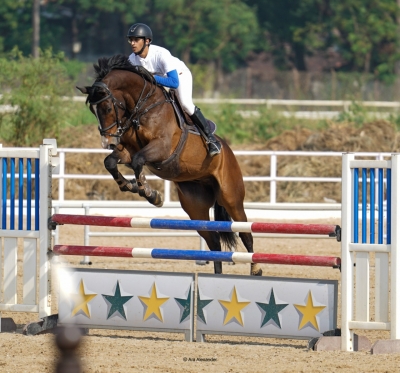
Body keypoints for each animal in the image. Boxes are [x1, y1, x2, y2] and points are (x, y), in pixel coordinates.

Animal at [76, 55, 262, 276]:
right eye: (92, 111)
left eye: (106, 108)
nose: (108, 143)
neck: (143, 107)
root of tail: (228, 150)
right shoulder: (127, 151)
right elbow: (111, 162)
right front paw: (130, 186)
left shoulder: (161, 148)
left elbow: (138, 161)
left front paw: (150, 193)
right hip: (195, 206)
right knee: (214, 241)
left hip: (231, 197)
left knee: (245, 232)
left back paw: (256, 269)